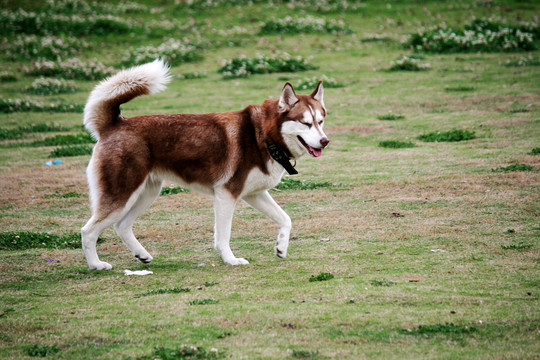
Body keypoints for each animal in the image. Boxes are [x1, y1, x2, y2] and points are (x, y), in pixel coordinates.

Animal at [80, 59, 330, 268]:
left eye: (320, 121)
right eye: (305, 123)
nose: (324, 141)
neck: (264, 136)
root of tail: (114, 124)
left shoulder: (254, 194)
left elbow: (285, 219)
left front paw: (281, 248)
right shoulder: (226, 194)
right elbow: (223, 236)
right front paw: (231, 260)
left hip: (146, 193)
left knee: (121, 226)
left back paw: (142, 255)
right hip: (122, 195)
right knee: (88, 231)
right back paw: (96, 265)